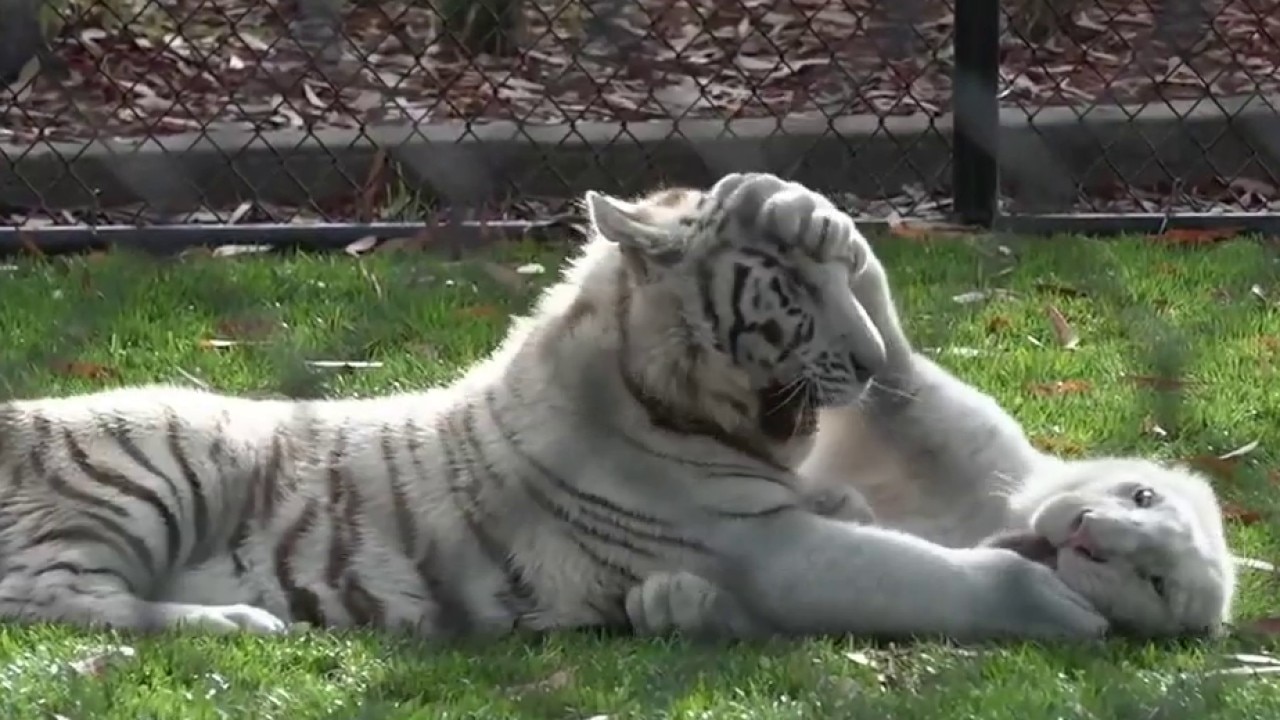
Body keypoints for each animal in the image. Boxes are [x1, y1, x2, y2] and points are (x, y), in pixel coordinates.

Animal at [0, 173, 1106, 641]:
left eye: (846, 271)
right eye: (792, 284)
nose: (874, 364)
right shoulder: (761, 544)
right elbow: (930, 576)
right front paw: (1057, 604)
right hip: (142, 483)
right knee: (52, 600)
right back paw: (236, 620)